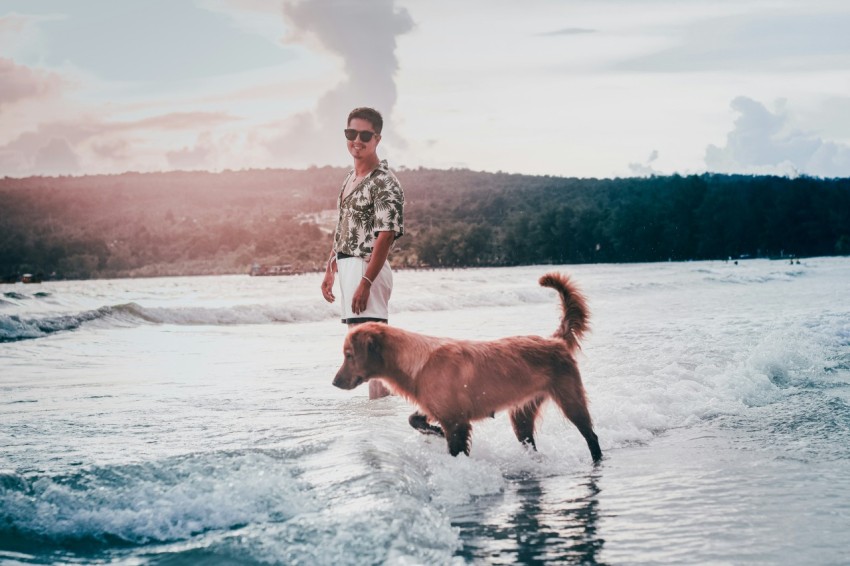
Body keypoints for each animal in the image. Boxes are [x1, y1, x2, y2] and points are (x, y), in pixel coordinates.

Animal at [328, 272, 600, 464]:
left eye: (349, 355)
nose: (334, 382)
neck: (417, 360)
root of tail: (555, 340)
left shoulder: (456, 422)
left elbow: (454, 448)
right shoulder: (438, 408)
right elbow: (414, 419)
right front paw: (433, 431)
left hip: (571, 399)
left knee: (591, 436)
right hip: (522, 414)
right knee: (529, 441)